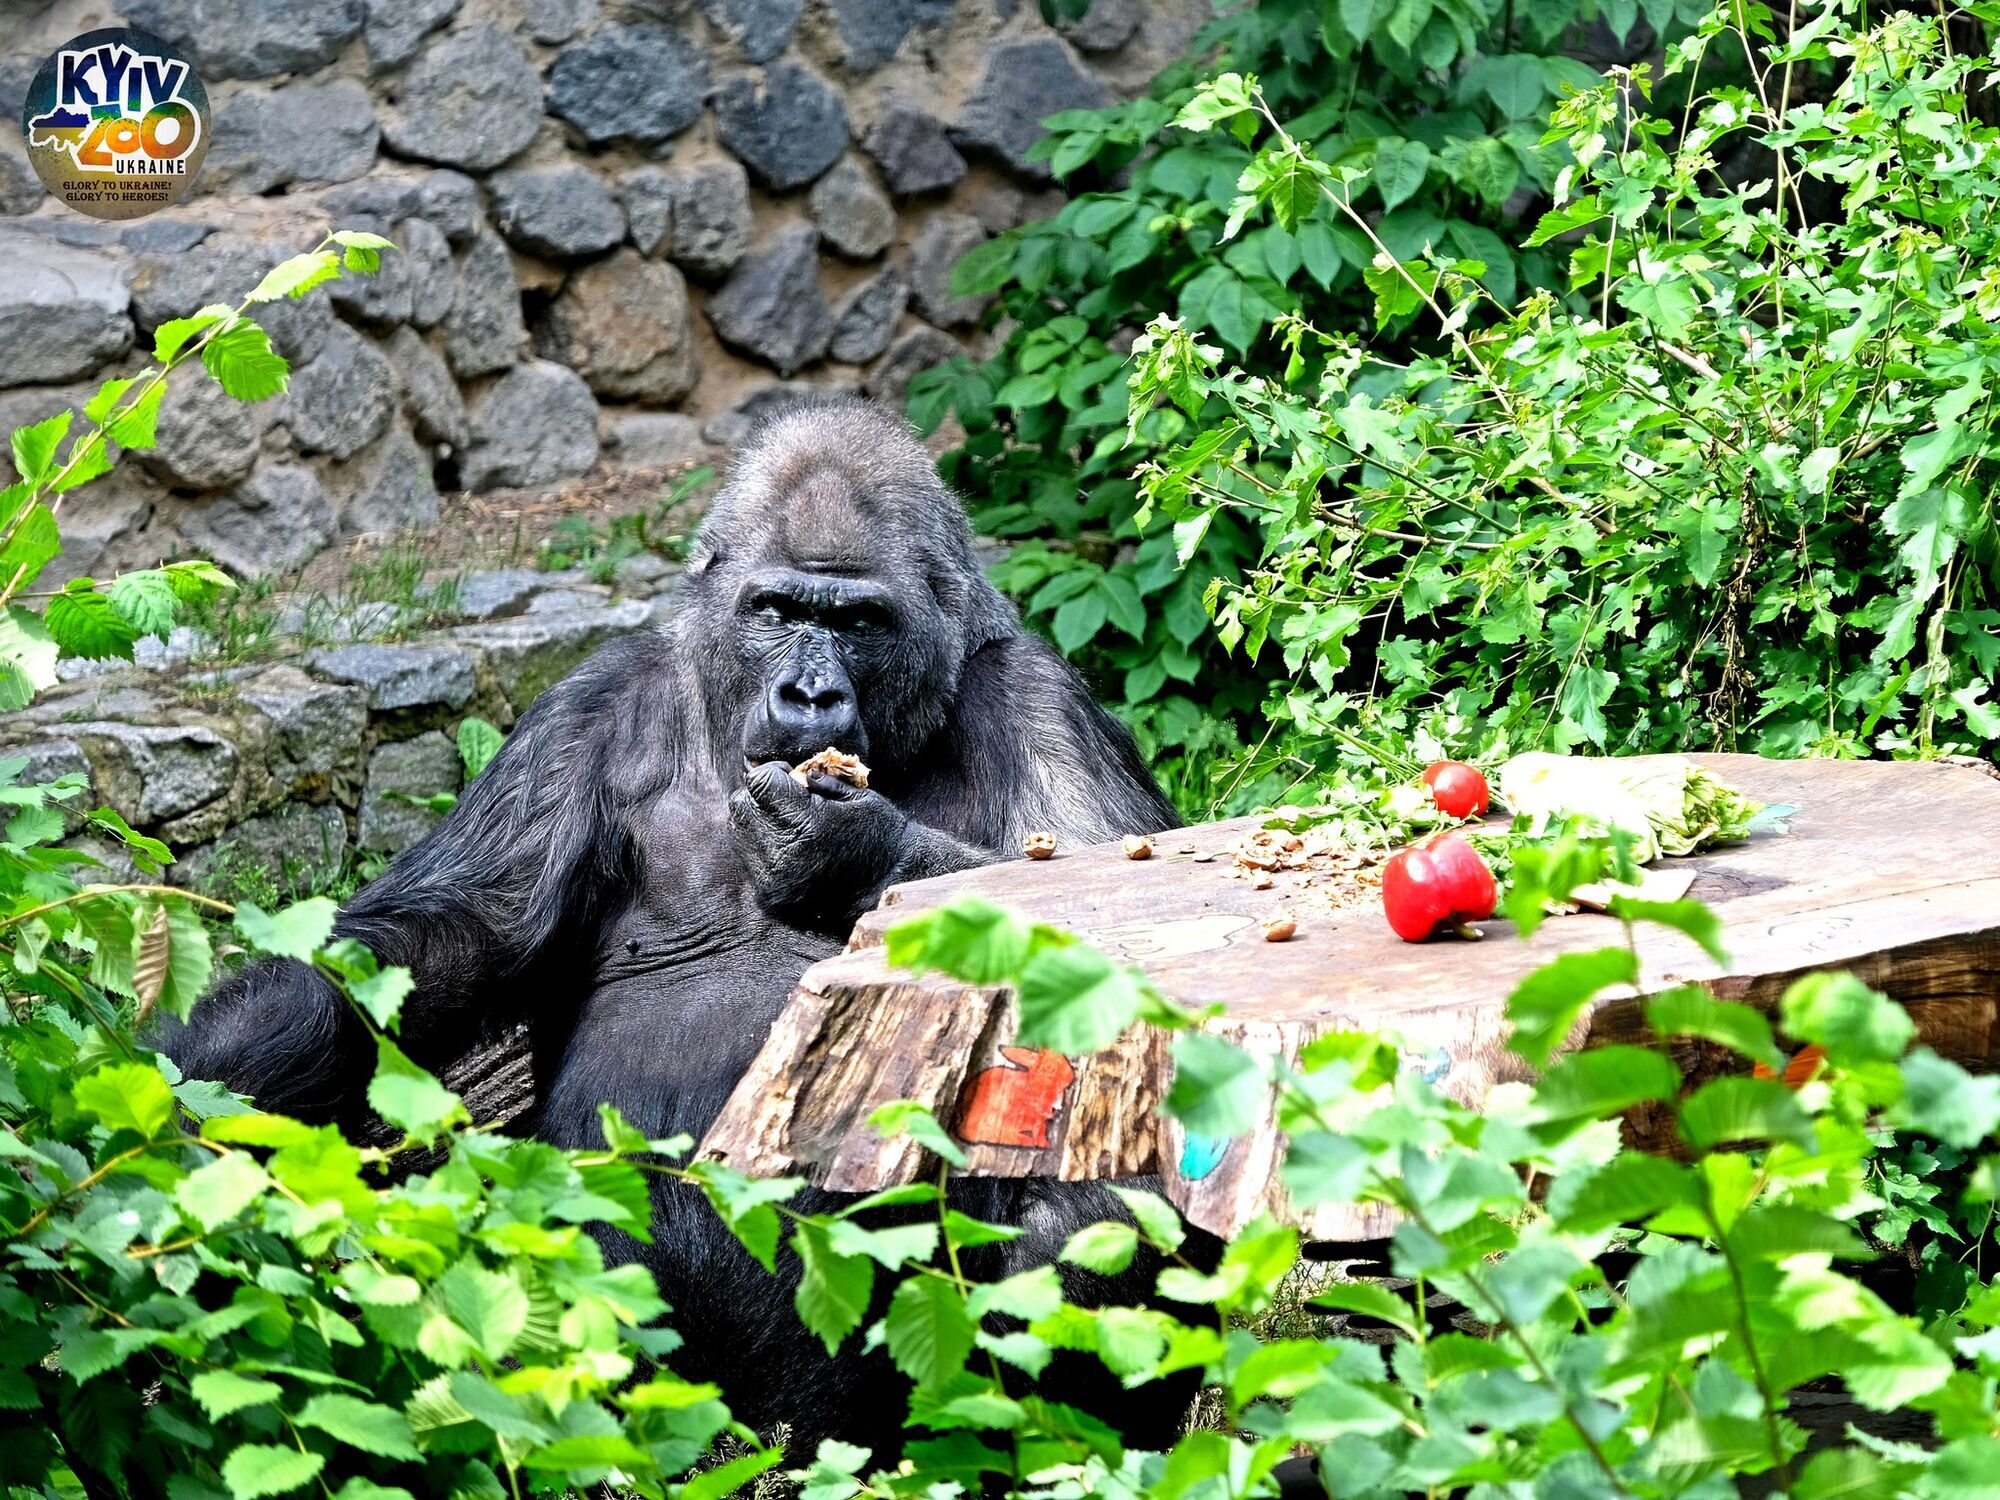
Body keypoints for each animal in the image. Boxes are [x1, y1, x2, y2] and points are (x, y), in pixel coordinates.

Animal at [164, 406, 1192, 1464]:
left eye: (860, 623)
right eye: (777, 609)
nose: (811, 697)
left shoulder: (1044, 702)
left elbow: (1138, 944)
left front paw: (849, 848)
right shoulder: (583, 709)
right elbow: (444, 939)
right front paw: (216, 1083)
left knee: (1114, 1199)